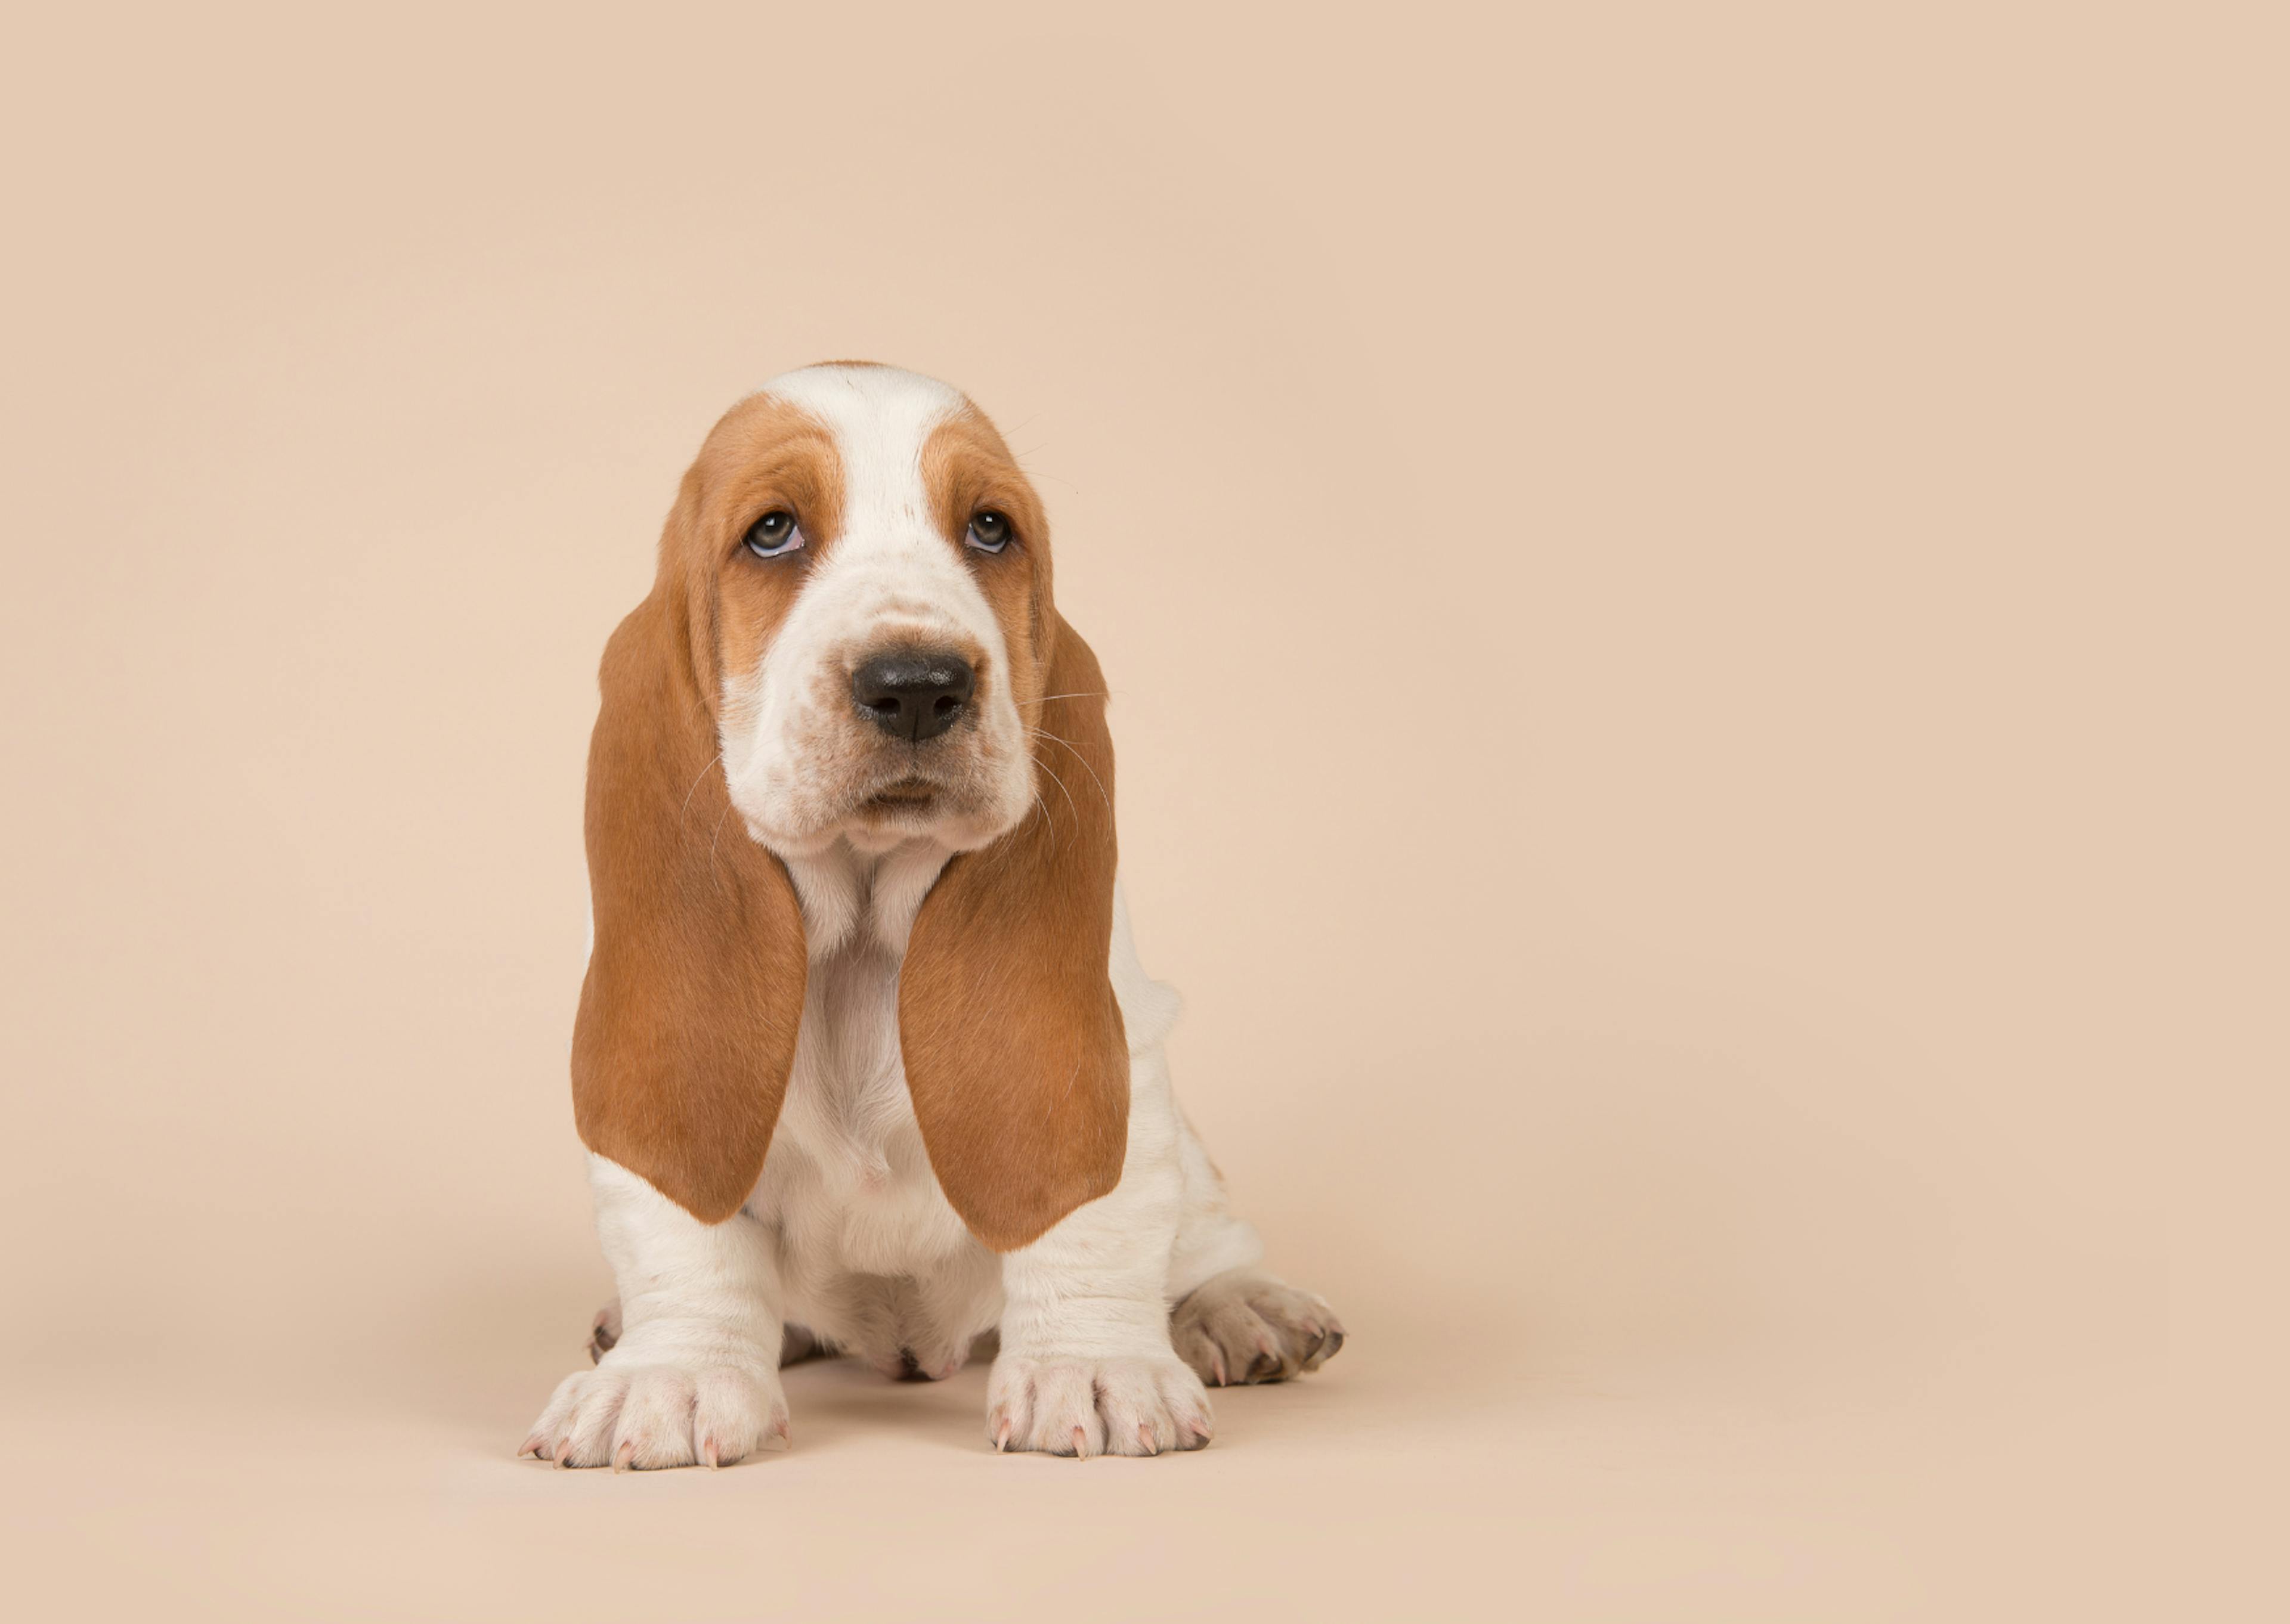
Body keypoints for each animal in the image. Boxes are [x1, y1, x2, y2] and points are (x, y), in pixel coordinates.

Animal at [519, 362, 1337, 1465]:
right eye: (772, 531)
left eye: (990, 528)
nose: (915, 685)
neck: (867, 917)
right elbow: (682, 1235)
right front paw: (669, 1374)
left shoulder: (1122, 1059)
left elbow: (1099, 1218)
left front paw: (1094, 1365)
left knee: (1206, 1236)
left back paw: (1241, 1307)